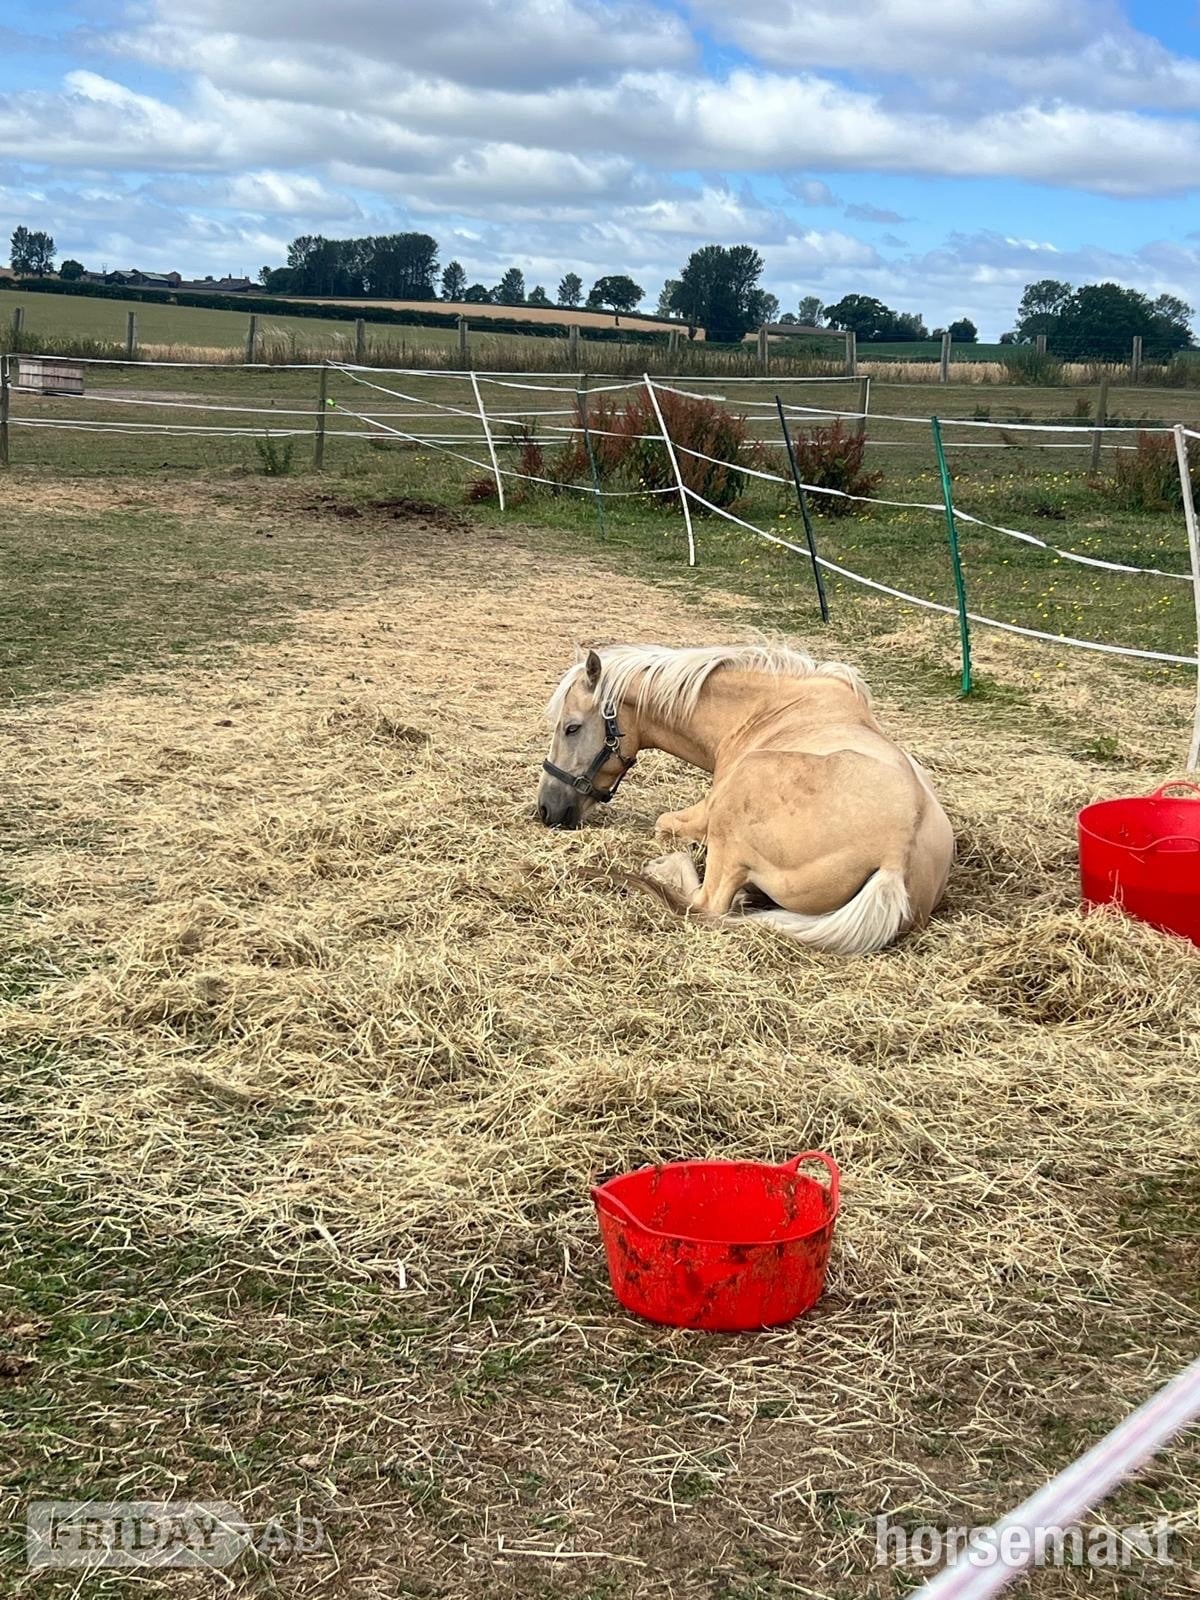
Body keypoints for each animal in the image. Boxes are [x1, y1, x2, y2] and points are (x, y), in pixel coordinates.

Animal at [538, 642, 953, 955]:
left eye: (571, 727)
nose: (546, 809)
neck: (763, 711)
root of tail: (896, 859)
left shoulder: (703, 814)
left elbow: (662, 825)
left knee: (709, 903)